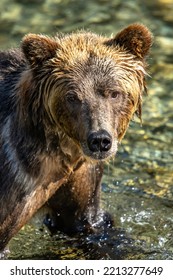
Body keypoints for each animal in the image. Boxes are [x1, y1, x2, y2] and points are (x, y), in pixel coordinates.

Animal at [0, 23, 151, 258]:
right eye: (72, 96)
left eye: (114, 93)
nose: (100, 140)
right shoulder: (18, 172)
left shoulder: (78, 177)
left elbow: (86, 223)